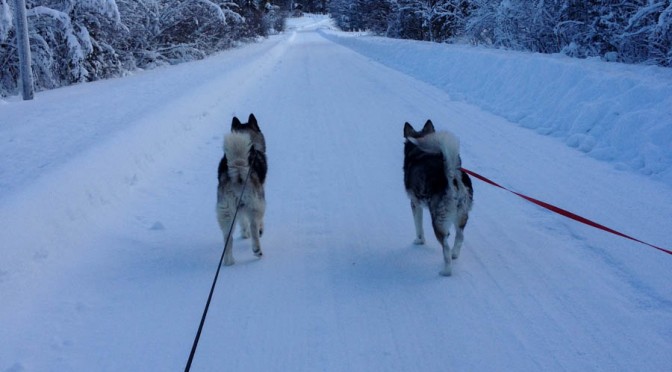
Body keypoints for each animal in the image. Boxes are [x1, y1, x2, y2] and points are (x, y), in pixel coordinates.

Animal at [217, 113, 266, 264]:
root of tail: (238, 169)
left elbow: (242, 221)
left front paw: (244, 234)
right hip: (256, 204)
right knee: (254, 226)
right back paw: (257, 250)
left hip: (226, 212)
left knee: (228, 238)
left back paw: (228, 260)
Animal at [402, 120, 476, 276]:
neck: (420, 152)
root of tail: (452, 178)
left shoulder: (415, 204)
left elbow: (418, 227)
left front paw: (419, 241)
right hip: (461, 216)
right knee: (460, 237)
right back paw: (455, 254)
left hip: (438, 220)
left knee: (445, 248)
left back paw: (445, 271)